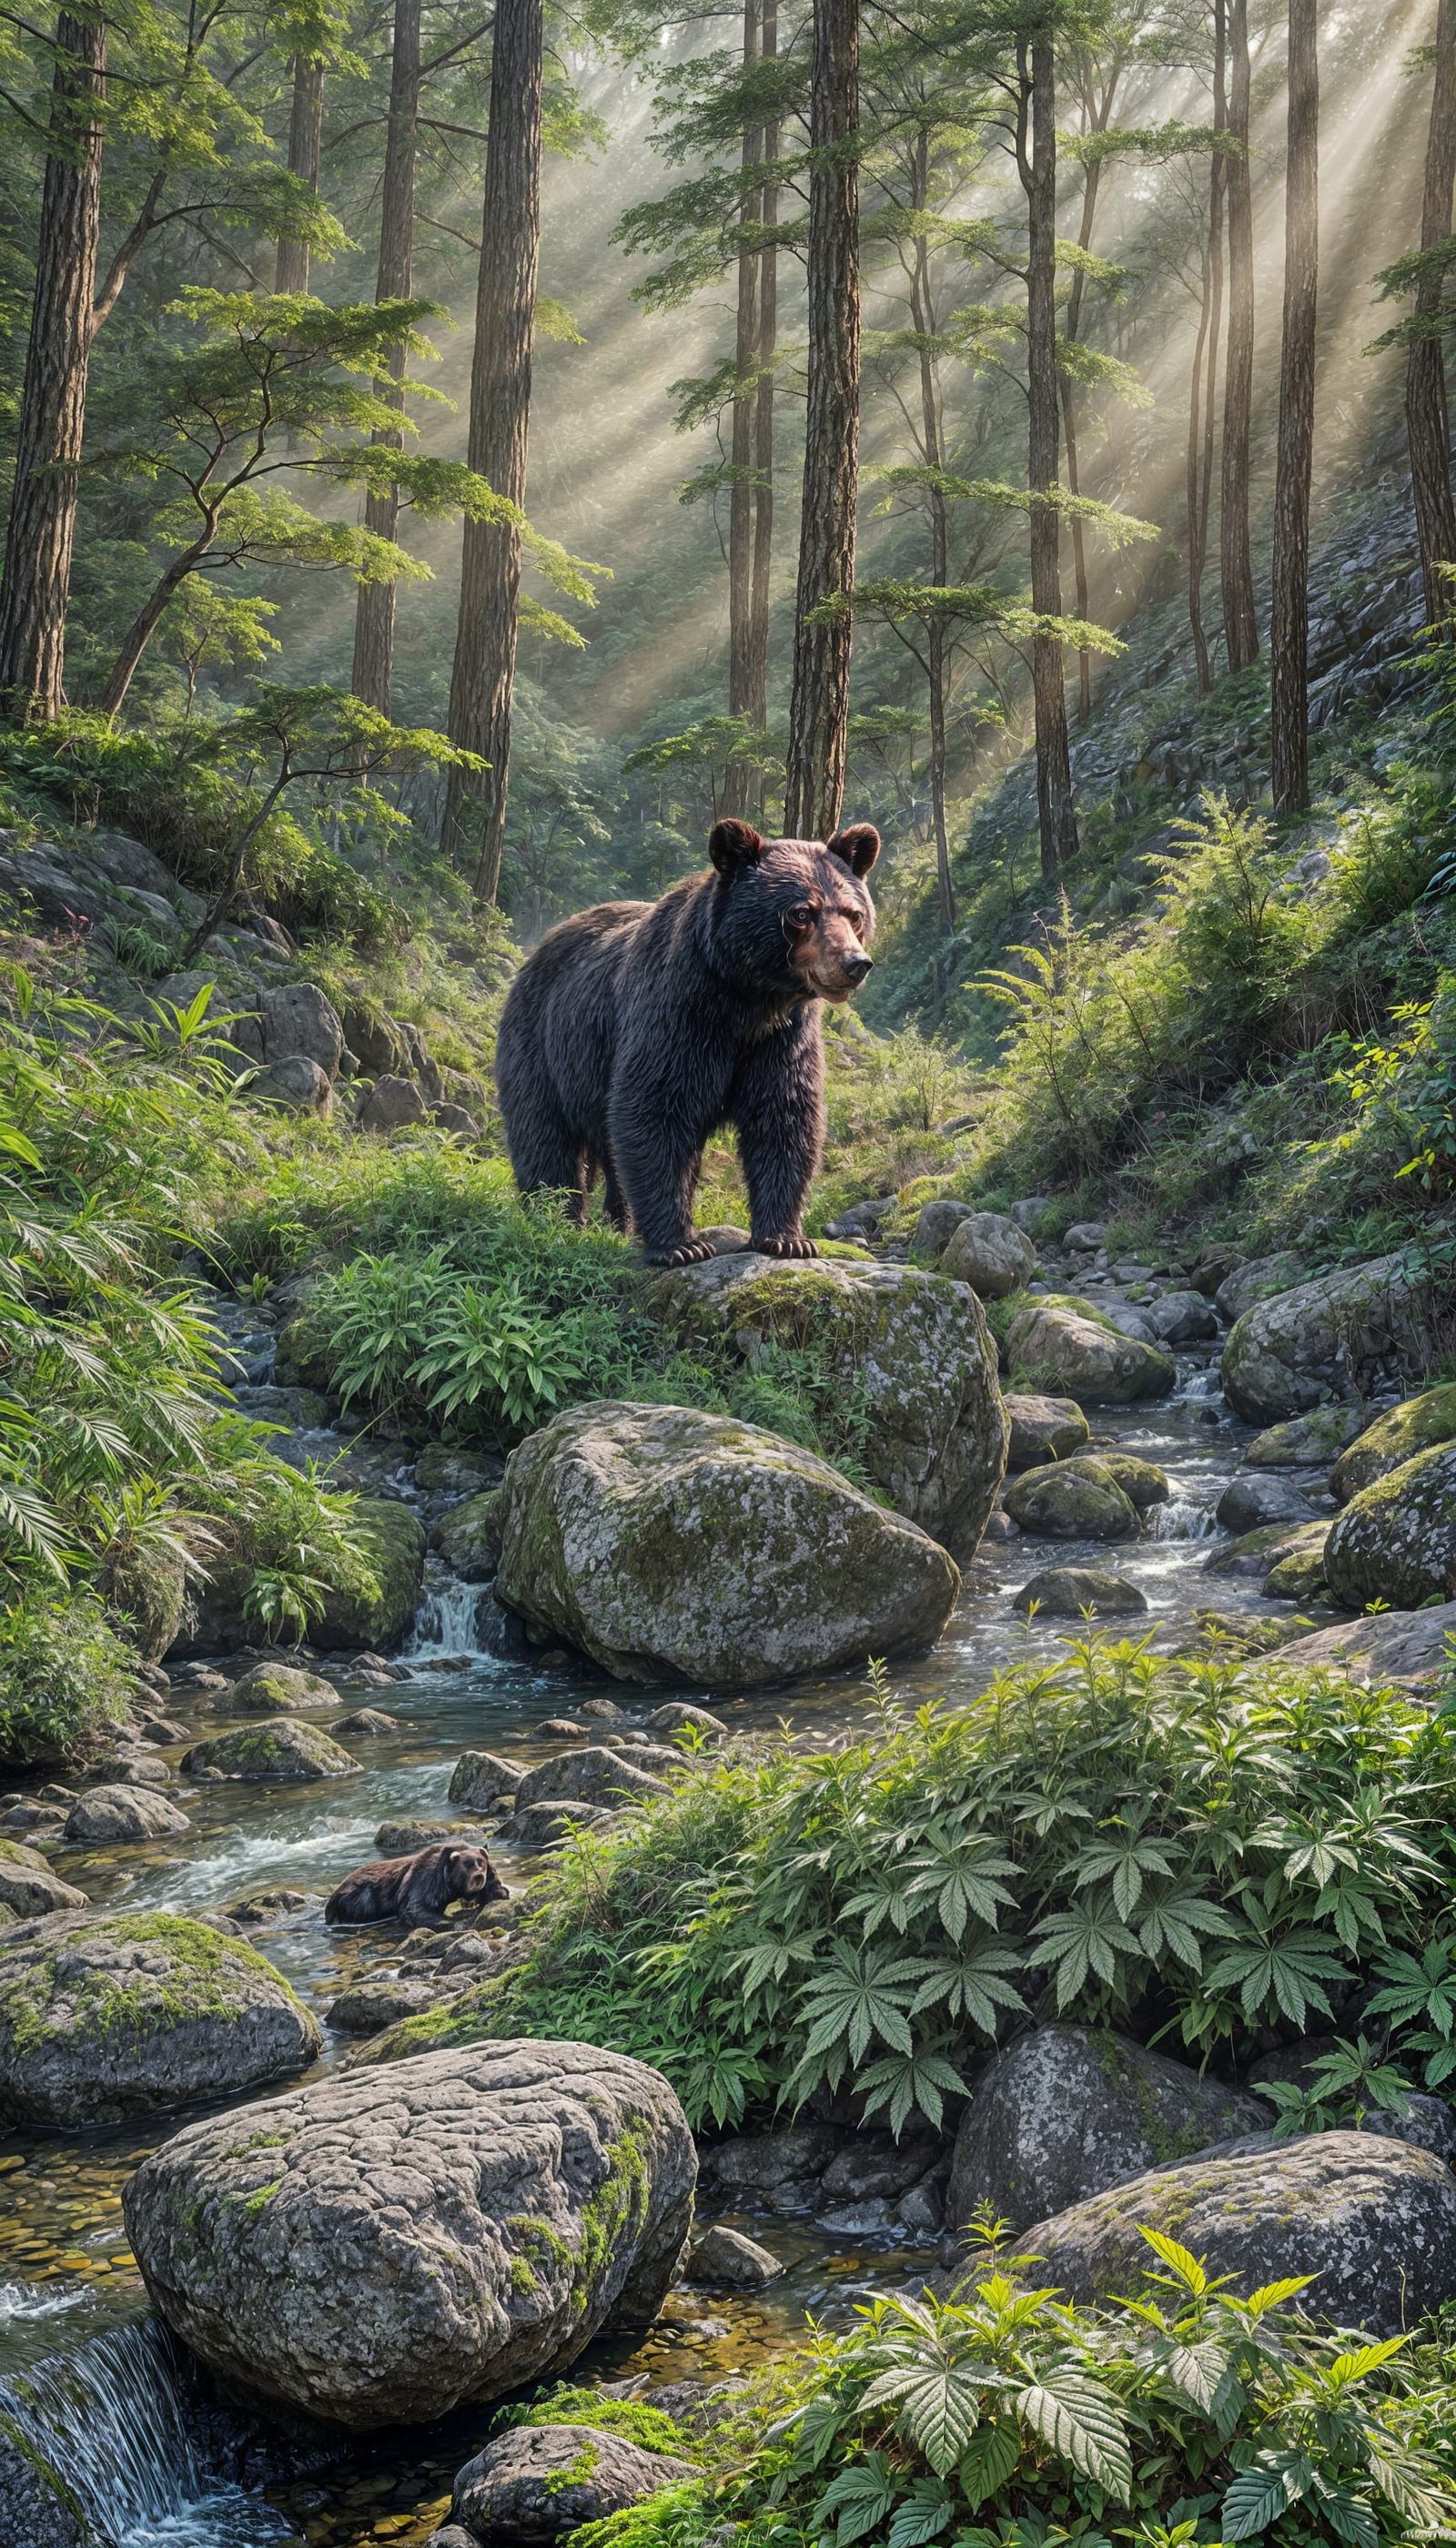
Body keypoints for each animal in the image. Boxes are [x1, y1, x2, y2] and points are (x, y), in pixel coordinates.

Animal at [323, 1842, 509, 1931]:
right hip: (360, 1899)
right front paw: (459, 1921)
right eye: (467, 1864)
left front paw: (500, 1891)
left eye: (480, 1863)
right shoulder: (426, 1880)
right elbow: (414, 1908)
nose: (478, 1877)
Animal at [495, 816, 880, 1266]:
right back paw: (555, 1215)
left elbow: (783, 1118)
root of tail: (540, 948)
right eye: (802, 912)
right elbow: (654, 1112)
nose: (854, 963)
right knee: (543, 1133)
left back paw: (620, 1222)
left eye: (854, 913)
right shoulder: (679, 1018)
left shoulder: (782, 1040)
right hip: (545, 1044)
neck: (747, 1000)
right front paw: (680, 1245)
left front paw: (786, 1238)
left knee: (608, 1148)